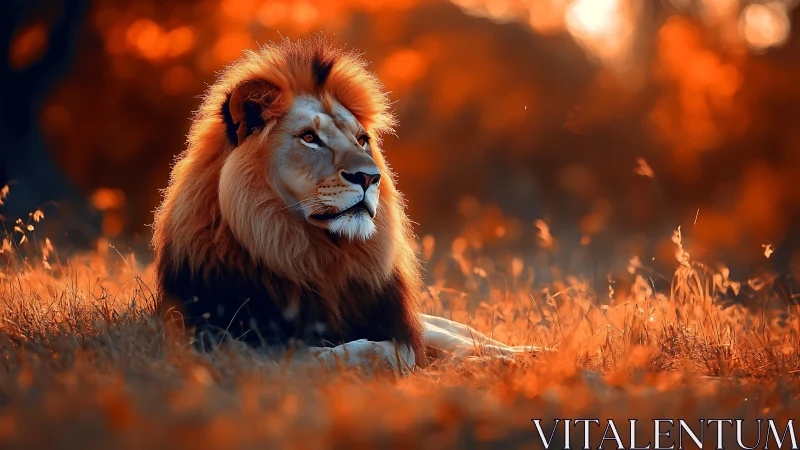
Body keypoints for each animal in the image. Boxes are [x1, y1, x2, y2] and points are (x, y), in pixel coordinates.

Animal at [152, 37, 545, 374]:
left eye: (362, 139)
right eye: (309, 137)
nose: (371, 177)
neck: (315, 256)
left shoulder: (398, 322)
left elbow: (399, 345)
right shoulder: (222, 341)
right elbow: (349, 351)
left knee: (468, 341)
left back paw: (532, 355)